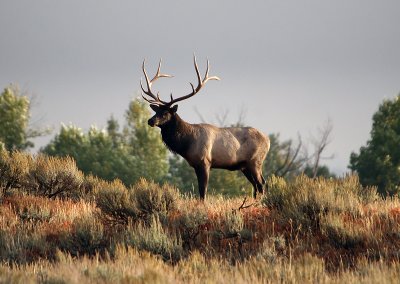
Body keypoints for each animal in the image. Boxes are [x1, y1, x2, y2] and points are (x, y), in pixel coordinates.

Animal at [140, 57, 268, 200]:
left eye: (165, 113)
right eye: (156, 111)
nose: (150, 121)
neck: (187, 143)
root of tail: (268, 140)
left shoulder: (205, 162)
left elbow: (203, 190)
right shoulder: (196, 165)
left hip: (255, 161)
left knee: (261, 183)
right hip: (245, 166)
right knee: (256, 185)